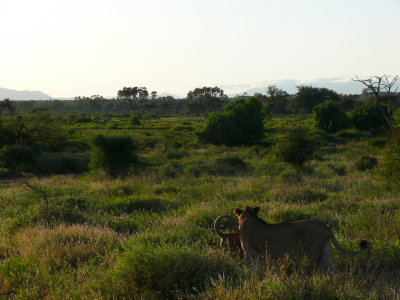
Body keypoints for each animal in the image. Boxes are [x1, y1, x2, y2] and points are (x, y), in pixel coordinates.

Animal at [234, 206, 368, 270]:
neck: (249, 218)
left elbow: (255, 270)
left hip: (313, 251)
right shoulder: (258, 256)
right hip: (325, 251)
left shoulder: (252, 254)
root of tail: (324, 225)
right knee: (332, 268)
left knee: (317, 269)